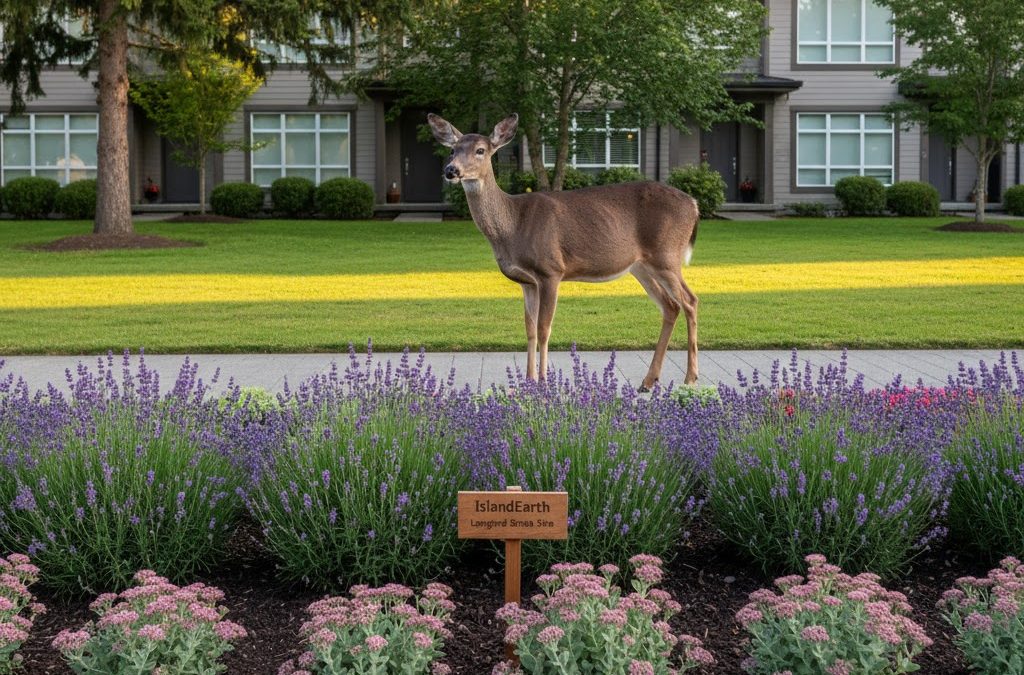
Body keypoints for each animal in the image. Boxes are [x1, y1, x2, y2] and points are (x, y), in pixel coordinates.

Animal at [428, 112, 700, 390]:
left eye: (480, 150)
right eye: (452, 150)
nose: (451, 170)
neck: (513, 224)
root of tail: (694, 204)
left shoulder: (551, 270)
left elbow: (544, 328)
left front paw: (544, 382)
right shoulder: (527, 282)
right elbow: (529, 329)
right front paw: (529, 381)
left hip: (666, 255)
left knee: (689, 301)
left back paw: (690, 377)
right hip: (642, 266)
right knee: (671, 306)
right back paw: (648, 381)